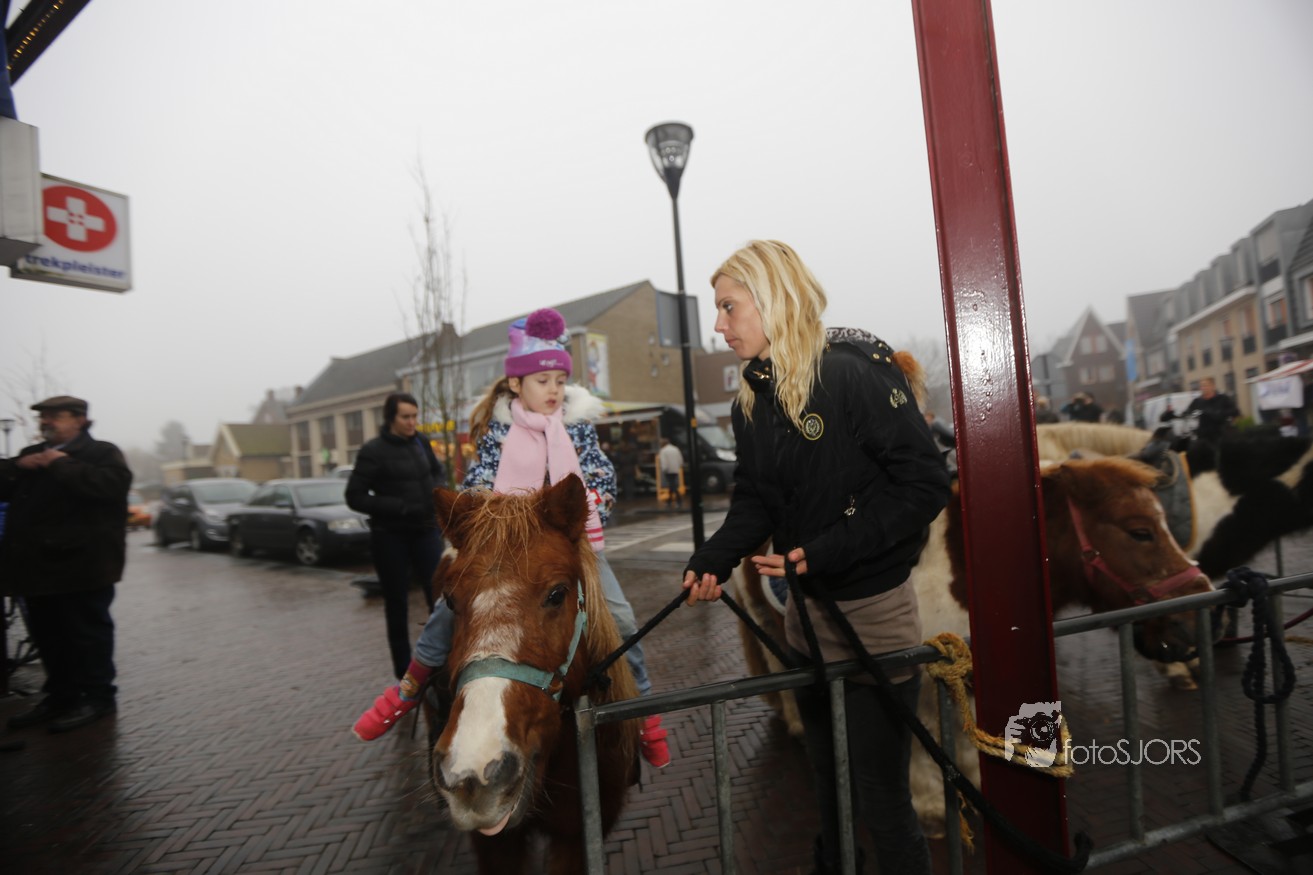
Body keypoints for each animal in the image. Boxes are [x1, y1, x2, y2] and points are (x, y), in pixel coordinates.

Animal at [732, 453, 1213, 837]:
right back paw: (797, 724)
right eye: (1140, 532)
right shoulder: (908, 679)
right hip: (768, 626)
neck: (964, 568)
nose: (1194, 620)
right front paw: (930, 806)